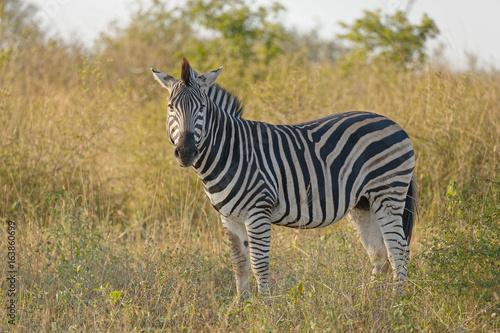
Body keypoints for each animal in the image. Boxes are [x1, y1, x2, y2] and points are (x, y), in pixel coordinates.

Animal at [151, 57, 418, 296]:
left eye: (202, 108)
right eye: (170, 107)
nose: (186, 151)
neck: (232, 151)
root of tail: (394, 123)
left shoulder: (258, 212)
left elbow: (259, 265)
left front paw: (264, 308)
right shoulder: (229, 218)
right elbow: (239, 265)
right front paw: (241, 306)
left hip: (388, 195)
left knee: (398, 250)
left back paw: (397, 302)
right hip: (364, 204)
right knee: (379, 254)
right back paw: (369, 302)